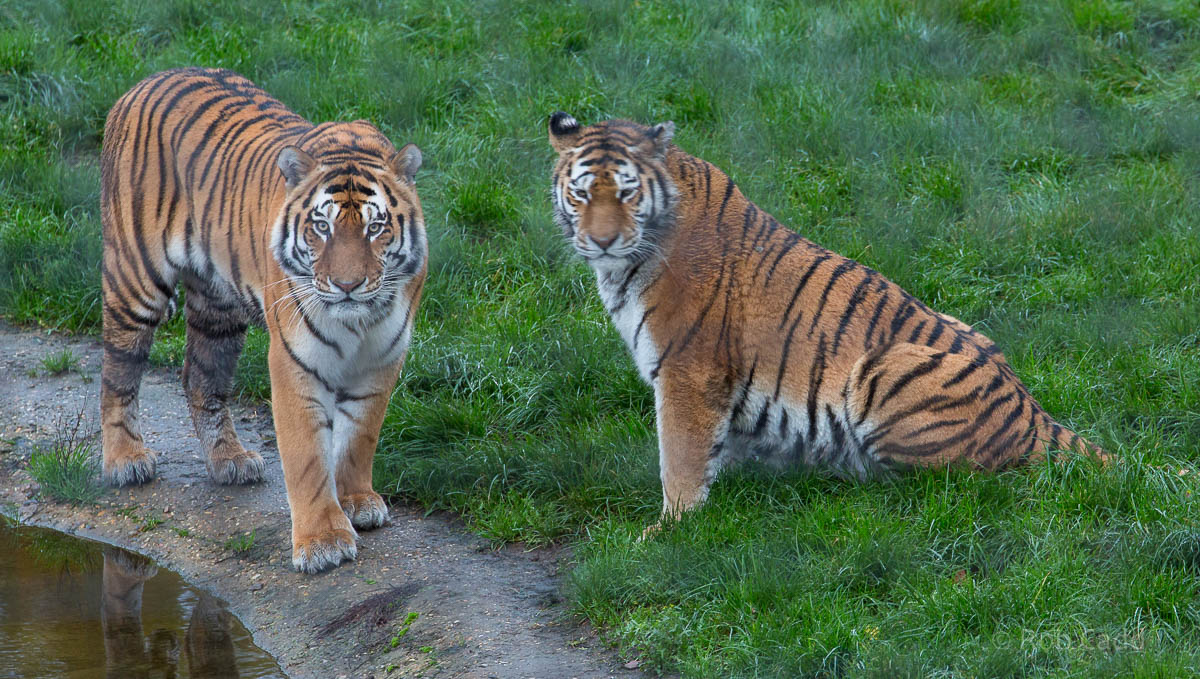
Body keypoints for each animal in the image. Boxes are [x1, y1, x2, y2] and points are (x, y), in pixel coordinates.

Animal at [100, 68, 427, 573]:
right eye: (322, 227)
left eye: (376, 228)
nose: (348, 285)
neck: (357, 323)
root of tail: (146, 79)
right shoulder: (295, 360)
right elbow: (307, 454)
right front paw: (322, 541)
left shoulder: (382, 358)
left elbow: (359, 437)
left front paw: (357, 501)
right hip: (135, 280)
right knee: (118, 371)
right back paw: (124, 460)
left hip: (218, 308)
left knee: (200, 377)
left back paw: (229, 461)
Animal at [547, 113, 1107, 534]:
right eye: (582, 194)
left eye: (625, 194)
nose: (601, 241)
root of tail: (1035, 414)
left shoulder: (688, 369)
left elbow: (680, 457)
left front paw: (667, 531)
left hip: (884, 371)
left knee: (953, 482)